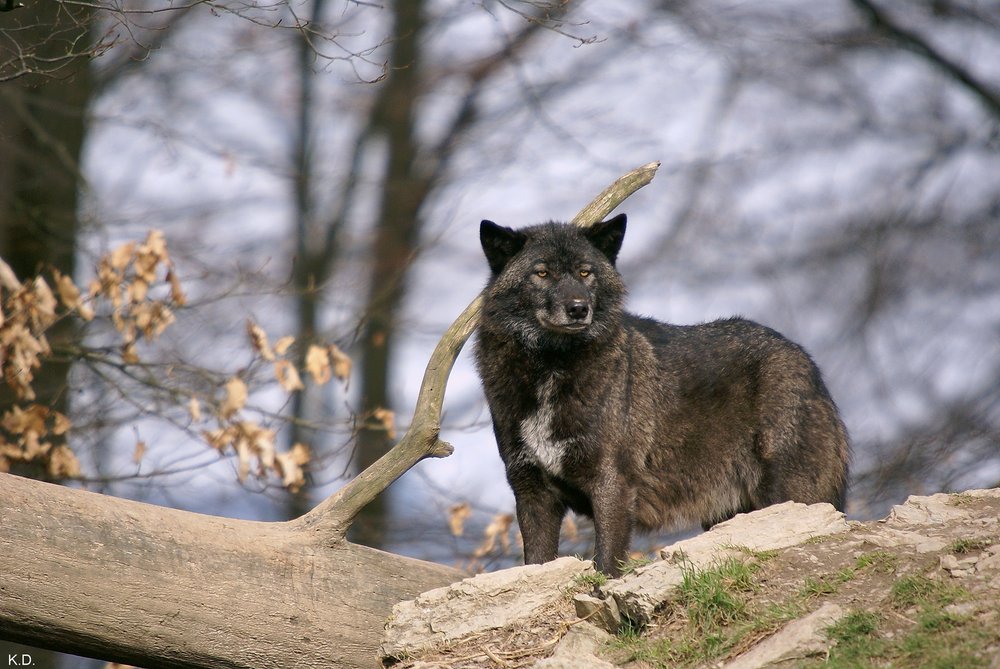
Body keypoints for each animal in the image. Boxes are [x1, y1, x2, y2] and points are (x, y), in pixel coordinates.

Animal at [474, 214, 849, 577]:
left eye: (585, 272)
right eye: (542, 273)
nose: (578, 308)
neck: (552, 367)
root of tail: (806, 362)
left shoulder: (612, 482)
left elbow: (606, 563)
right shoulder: (532, 492)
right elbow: (535, 564)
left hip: (786, 494)